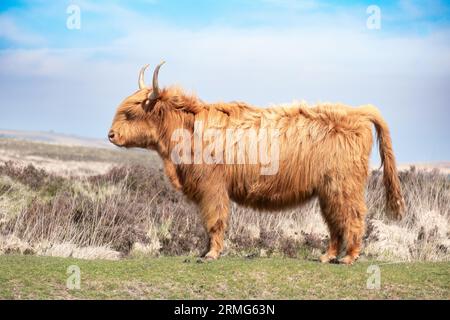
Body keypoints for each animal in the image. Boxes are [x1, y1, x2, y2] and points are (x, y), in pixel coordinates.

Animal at [108, 62, 404, 264]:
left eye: (131, 113)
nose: (110, 134)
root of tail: (358, 111)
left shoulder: (213, 187)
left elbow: (214, 220)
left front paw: (212, 254)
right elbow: (208, 222)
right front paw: (205, 251)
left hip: (343, 184)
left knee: (352, 216)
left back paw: (349, 257)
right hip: (327, 189)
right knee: (334, 220)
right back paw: (327, 256)